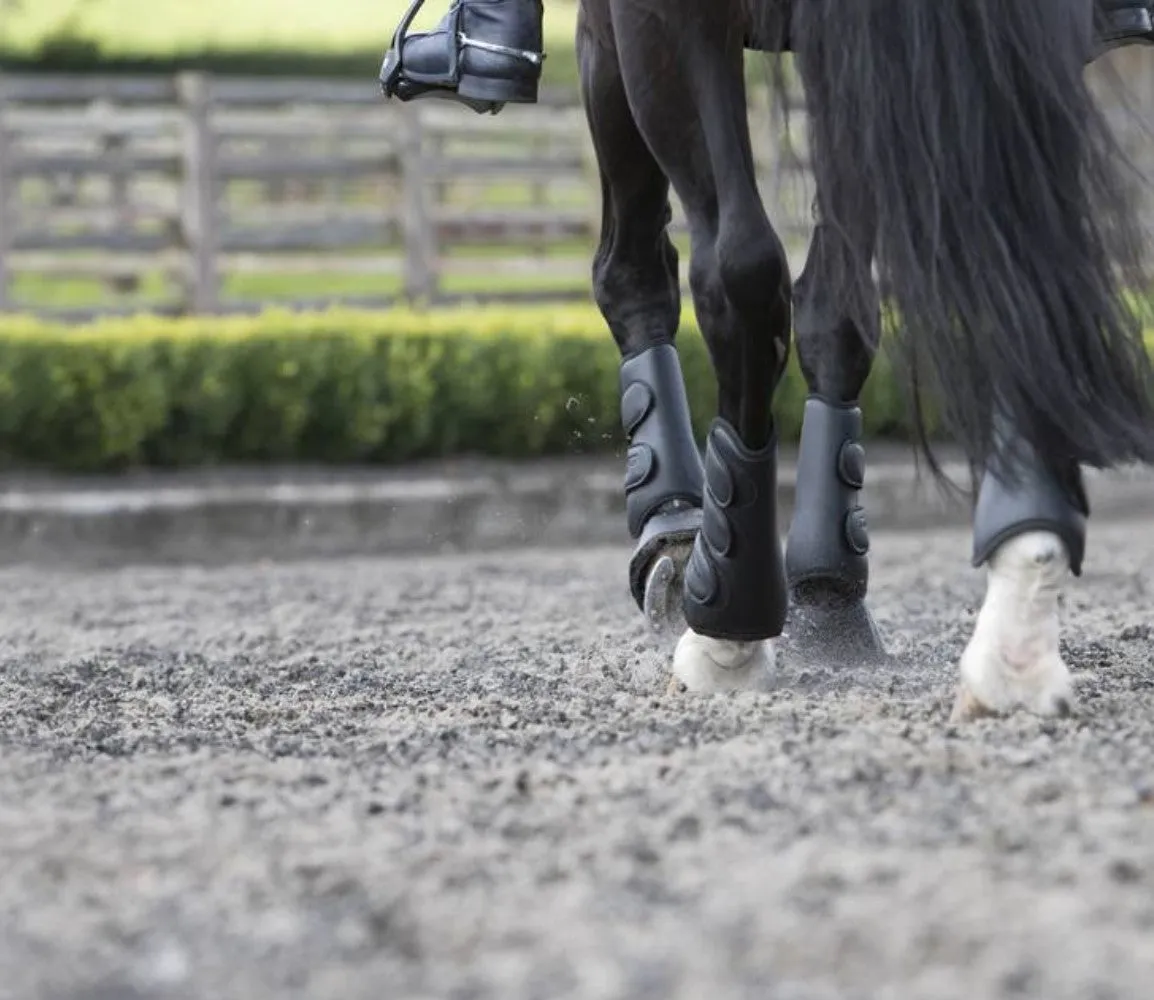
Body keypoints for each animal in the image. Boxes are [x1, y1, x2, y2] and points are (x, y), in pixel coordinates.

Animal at [383, 1, 1149, 719]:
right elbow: (838, 313)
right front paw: (828, 591)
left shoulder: (614, 29)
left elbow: (640, 272)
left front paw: (677, 533)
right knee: (1018, 262)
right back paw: (1018, 624)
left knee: (733, 270)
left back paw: (727, 623)